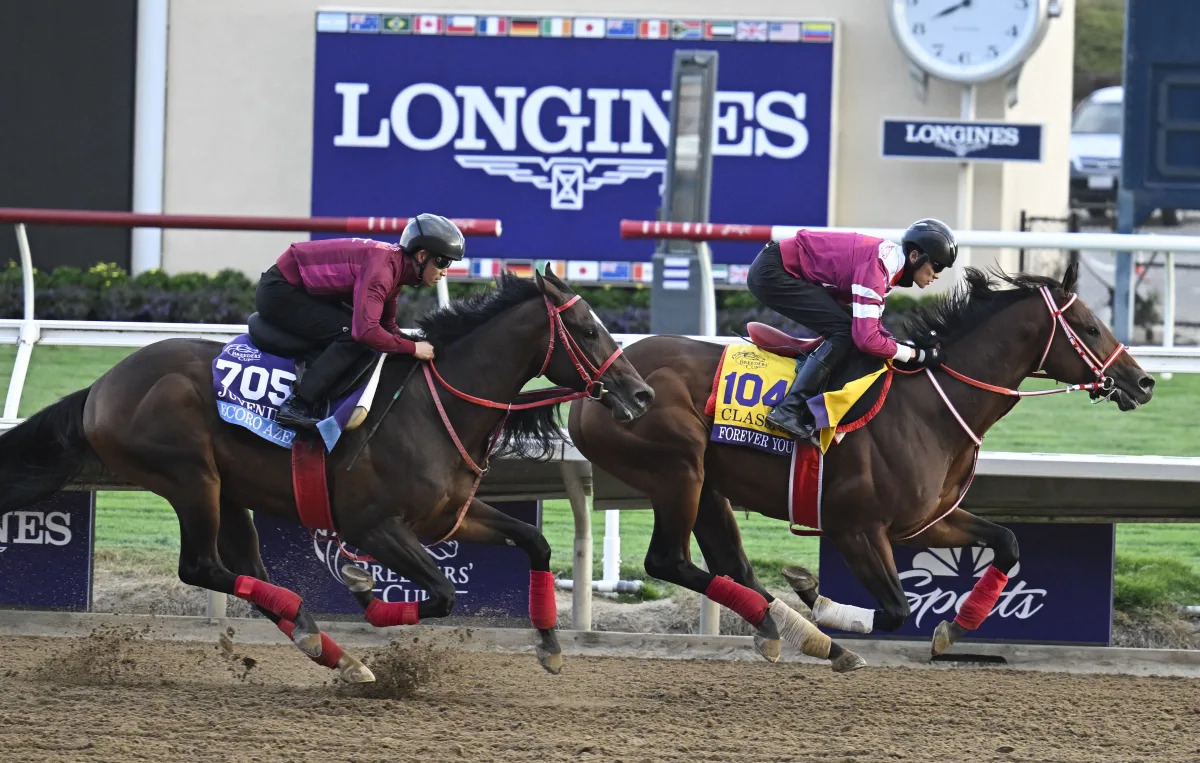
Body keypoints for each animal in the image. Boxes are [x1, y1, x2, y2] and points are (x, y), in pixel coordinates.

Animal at [0, 271, 652, 681]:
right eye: (588, 330)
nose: (641, 394)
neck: (435, 405)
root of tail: (102, 386)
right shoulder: (373, 525)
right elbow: (441, 593)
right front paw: (367, 595)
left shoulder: (447, 518)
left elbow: (534, 541)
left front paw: (551, 647)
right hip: (189, 478)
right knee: (202, 567)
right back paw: (327, 638)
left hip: (228, 492)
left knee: (248, 571)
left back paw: (332, 651)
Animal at [568, 263, 1152, 671]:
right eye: (1088, 327)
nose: (1142, 381)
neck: (930, 406)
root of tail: (597, 383)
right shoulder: (856, 528)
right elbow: (895, 610)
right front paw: (821, 601)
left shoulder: (926, 521)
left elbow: (1006, 542)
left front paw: (954, 629)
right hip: (677, 471)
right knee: (668, 561)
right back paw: (814, 634)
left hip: (708, 484)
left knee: (732, 566)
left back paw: (794, 633)